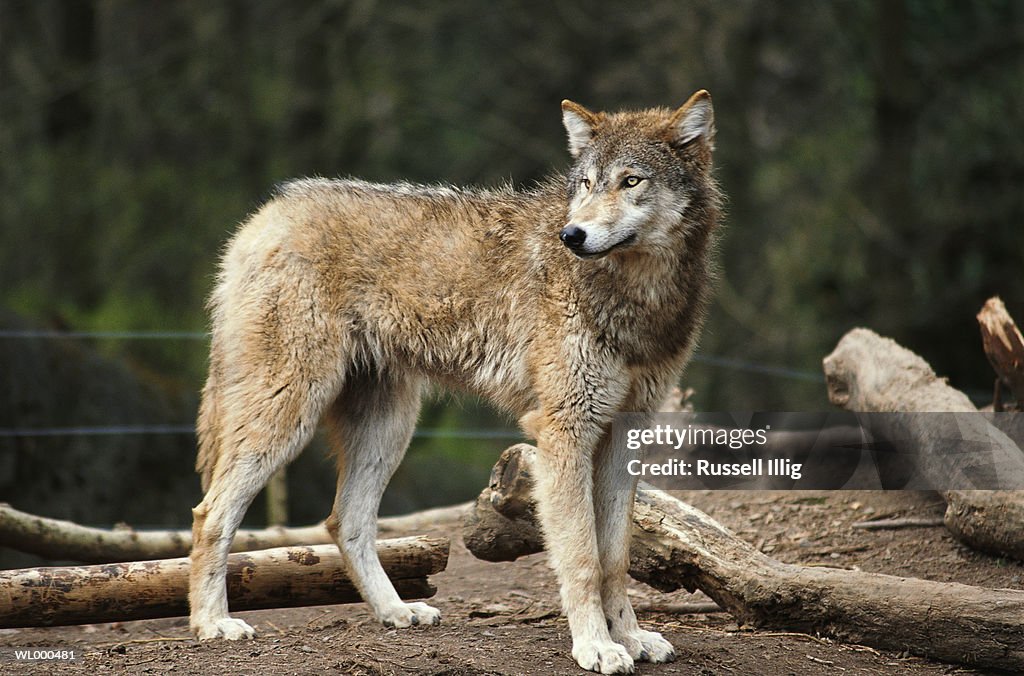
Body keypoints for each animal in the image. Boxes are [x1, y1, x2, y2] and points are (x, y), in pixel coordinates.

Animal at [188, 90, 721, 674]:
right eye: (585, 183)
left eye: (630, 181)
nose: (572, 235)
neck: (635, 296)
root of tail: (267, 212)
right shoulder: (564, 431)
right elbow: (582, 557)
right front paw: (596, 646)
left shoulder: (625, 434)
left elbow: (615, 559)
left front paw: (630, 638)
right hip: (288, 413)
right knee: (210, 514)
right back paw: (212, 624)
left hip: (387, 428)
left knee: (344, 522)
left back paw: (396, 613)